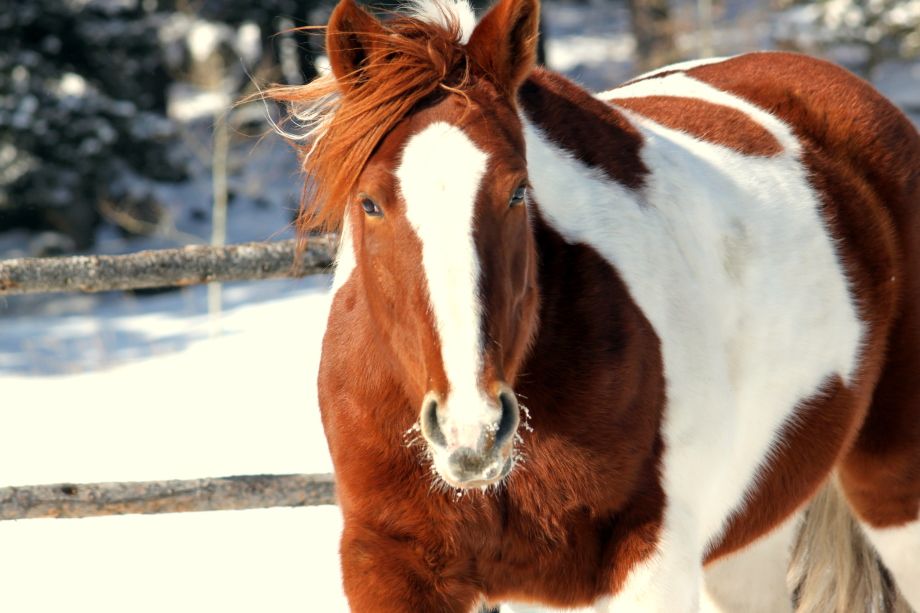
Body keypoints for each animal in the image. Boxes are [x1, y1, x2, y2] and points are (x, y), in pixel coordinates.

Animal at [268, 0, 920, 610]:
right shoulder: (390, 565)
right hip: (750, 538)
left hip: (892, 497)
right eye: (370, 203)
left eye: (518, 191)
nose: (471, 432)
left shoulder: (646, 566)